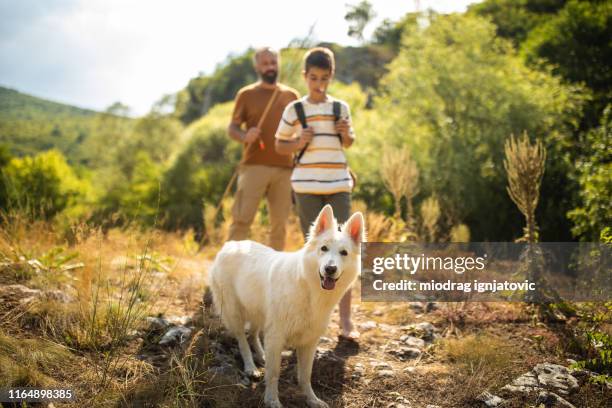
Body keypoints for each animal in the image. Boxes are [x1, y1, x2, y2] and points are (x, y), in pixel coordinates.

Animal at [209, 206, 364, 408]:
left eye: (344, 253)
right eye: (324, 248)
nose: (330, 269)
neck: (308, 288)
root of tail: (230, 245)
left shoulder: (309, 342)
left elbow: (305, 376)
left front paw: (312, 399)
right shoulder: (276, 336)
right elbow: (274, 373)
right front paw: (272, 400)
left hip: (259, 313)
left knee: (253, 334)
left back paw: (261, 356)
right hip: (234, 313)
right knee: (242, 340)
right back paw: (250, 367)